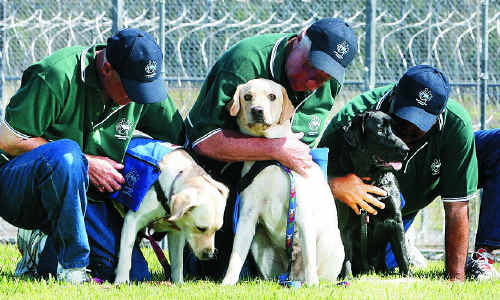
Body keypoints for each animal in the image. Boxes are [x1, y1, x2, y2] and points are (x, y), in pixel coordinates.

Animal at [114, 146, 229, 284]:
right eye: (200, 228)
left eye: (217, 230)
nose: (210, 255)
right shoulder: (132, 220)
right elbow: (126, 254)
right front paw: (121, 281)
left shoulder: (177, 232)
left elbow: (177, 263)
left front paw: (178, 283)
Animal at [223, 79, 344, 286]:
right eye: (247, 96)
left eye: (272, 96)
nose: (257, 110)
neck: (271, 160)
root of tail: (293, 276)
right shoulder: (247, 216)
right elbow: (235, 256)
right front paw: (227, 283)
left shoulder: (303, 216)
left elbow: (310, 260)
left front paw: (313, 286)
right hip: (259, 242)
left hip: (330, 242)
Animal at [328, 110, 410, 278]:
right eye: (380, 130)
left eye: (393, 130)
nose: (406, 150)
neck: (371, 180)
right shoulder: (346, 226)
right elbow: (346, 256)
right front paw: (345, 278)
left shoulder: (396, 220)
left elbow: (402, 252)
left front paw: (407, 276)